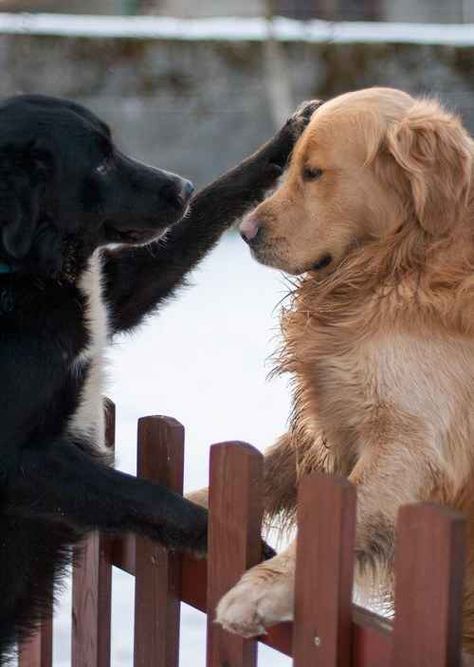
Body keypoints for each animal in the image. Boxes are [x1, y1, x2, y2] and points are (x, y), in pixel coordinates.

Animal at [0, 95, 318, 664]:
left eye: (113, 145)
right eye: (100, 161)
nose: (184, 186)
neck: (24, 274)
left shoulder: (117, 294)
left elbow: (207, 213)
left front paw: (288, 137)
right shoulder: (22, 462)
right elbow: (145, 495)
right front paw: (246, 552)